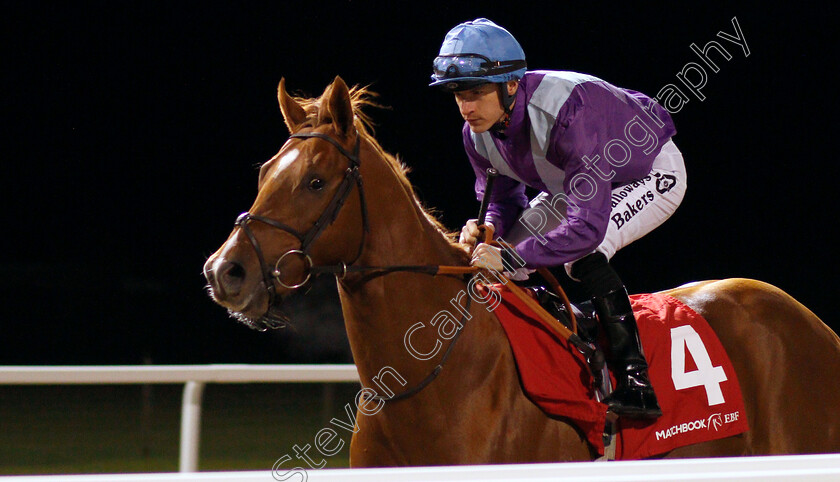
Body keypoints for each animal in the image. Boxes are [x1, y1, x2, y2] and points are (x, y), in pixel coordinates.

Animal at [207, 76, 840, 464]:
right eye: (265, 171)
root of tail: (814, 326)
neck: (426, 376)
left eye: (315, 181)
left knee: (590, 257)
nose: (224, 272)